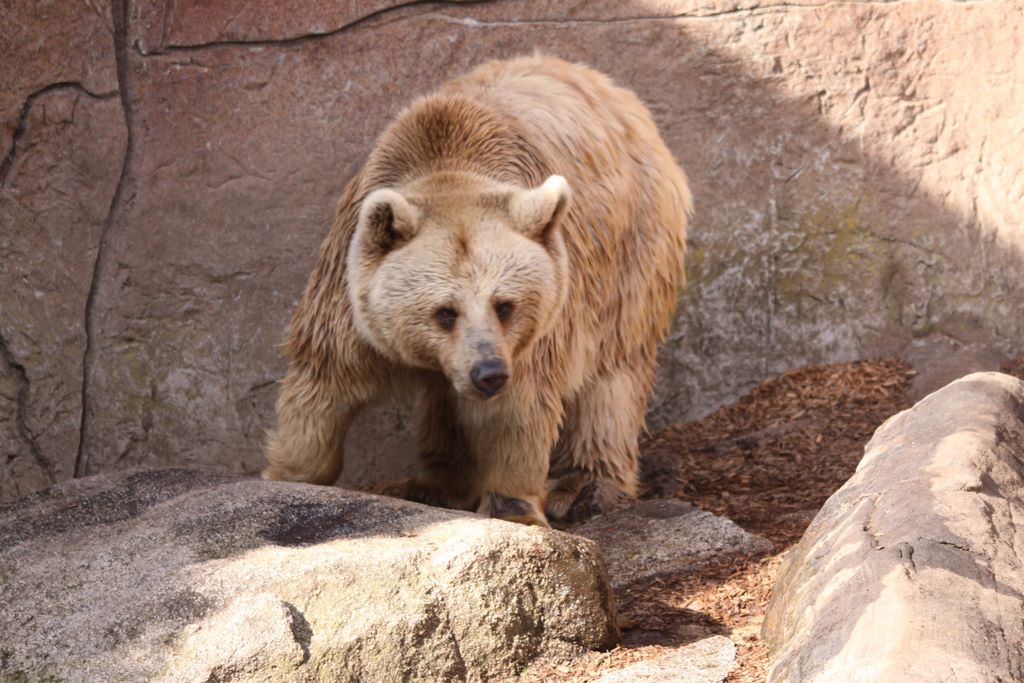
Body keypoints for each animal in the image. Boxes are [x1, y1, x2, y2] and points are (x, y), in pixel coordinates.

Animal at [263, 55, 691, 527]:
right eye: (444, 311)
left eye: (505, 305)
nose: (489, 372)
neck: (448, 162)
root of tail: (610, 87)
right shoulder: (349, 293)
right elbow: (324, 381)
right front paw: (287, 477)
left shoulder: (538, 330)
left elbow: (518, 410)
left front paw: (514, 506)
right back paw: (439, 482)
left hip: (633, 246)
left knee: (614, 369)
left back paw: (585, 484)